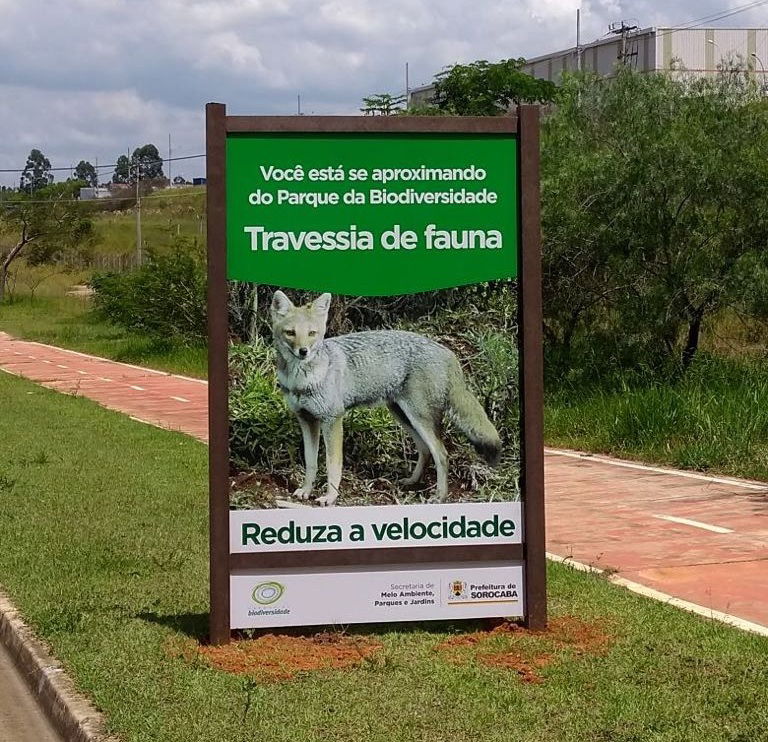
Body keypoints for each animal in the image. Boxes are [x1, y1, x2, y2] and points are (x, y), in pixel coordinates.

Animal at [272, 290, 504, 506]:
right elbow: (311, 463)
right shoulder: (306, 420)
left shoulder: (333, 419)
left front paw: (330, 497)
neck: (302, 381)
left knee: (442, 455)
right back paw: (412, 482)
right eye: (291, 333)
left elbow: (333, 465)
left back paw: (439, 496)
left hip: (419, 419)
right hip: (404, 417)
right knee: (425, 450)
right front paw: (306, 490)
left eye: (312, 333)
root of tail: (447, 351)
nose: (303, 351)